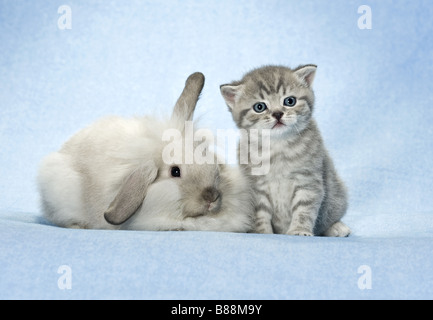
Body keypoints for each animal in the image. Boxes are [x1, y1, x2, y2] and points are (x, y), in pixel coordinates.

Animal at [221, 65, 350, 236]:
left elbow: (304, 210)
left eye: (290, 101)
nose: (277, 113)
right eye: (259, 107)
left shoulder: (308, 181)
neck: (278, 146)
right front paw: (262, 233)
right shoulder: (256, 187)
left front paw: (299, 230)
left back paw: (337, 227)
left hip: (336, 198)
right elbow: (260, 214)